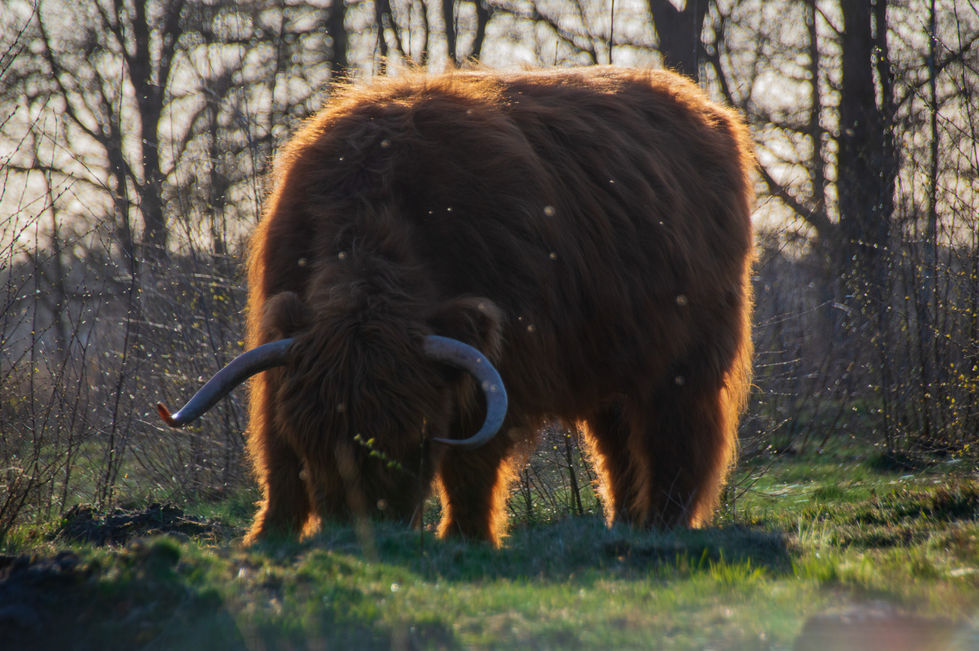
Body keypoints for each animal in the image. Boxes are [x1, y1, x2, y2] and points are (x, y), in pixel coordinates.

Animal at [158, 67, 755, 546]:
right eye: (320, 440)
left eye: (414, 437)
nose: (360, 530)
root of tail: (705, 108)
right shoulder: (284, 349)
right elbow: (277, 453)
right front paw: (268, 537)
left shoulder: (505, 360)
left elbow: (473, 461)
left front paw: (466, 538)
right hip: (610, 365)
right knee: (619, 447)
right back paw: (625, 524)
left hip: (686, 361)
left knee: (676, 437)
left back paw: (662, 527)